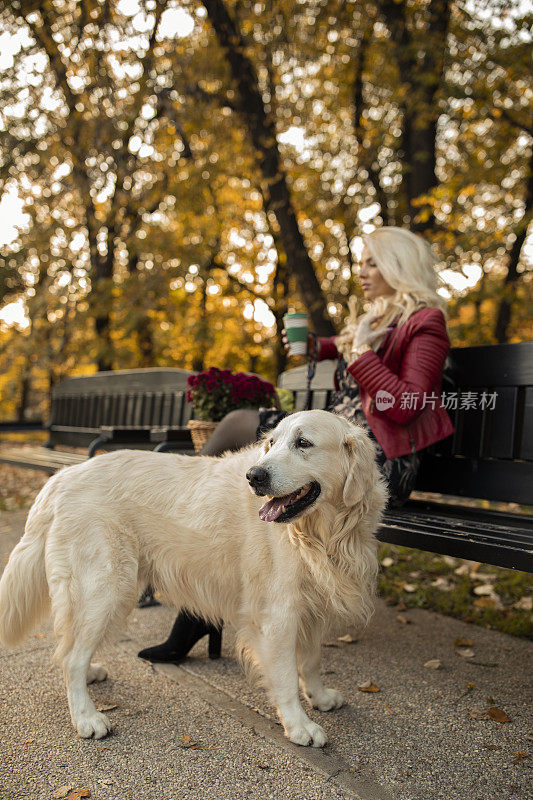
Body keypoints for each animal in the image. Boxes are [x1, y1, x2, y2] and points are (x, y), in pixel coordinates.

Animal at [0, 410, 386, 748]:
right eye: (271, 443)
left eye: (303, 442)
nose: (254, 476)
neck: (320, 533)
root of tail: (60, 477)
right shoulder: (277, 614)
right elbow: (287, 675)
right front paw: (299, 726)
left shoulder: (312, 605)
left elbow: (311, 660)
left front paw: (319, 696)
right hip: (106, 587)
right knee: (70, 656)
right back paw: (85, 717)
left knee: (70, 648)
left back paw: (90, 676)